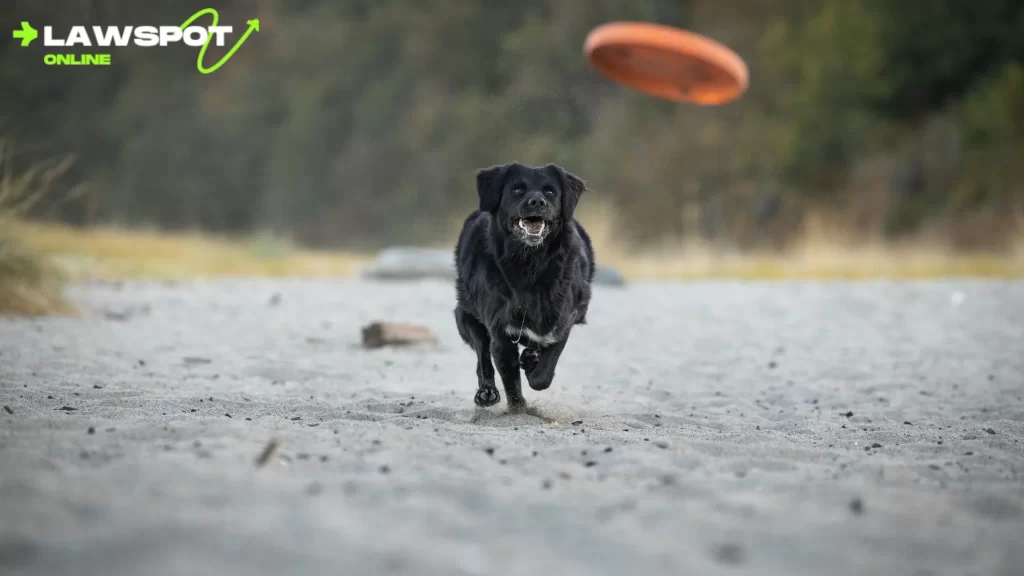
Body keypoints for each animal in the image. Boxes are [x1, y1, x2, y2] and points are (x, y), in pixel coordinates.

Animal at [454, 159, 598, 407]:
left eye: (550, 191)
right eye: (517, 190)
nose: (537, 202)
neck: (530, 264)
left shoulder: (564, 320)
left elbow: (543, 374)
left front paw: (533, 367)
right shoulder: (500, 334)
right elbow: (511, 382)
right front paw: (518, 407)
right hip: (467, 317)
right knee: (482, 358)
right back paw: (487, 392)